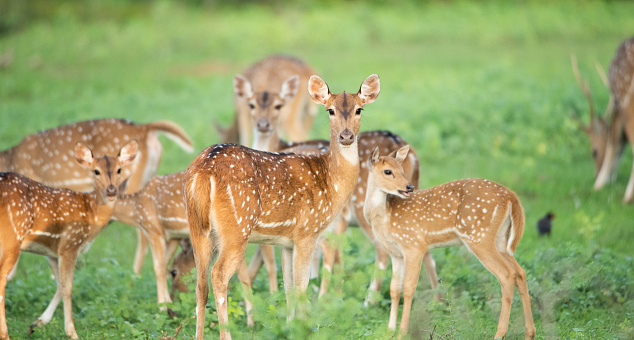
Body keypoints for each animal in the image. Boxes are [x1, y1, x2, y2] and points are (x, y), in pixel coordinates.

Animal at [0, 140, 137, 338]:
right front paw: (72, 332)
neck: (91, 214)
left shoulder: (51, 250)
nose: (111, 191)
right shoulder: (70, 244)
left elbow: (59, 285)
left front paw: (37, 323)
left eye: (119, 169)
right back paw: (5, 334)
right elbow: (69, 287)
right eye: (96, 171)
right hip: (12, 238)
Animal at [184, 73, 380, 338]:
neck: (330, 182)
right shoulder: (307, 231)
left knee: (200, 282)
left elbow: (288, 287)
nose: (346, 136)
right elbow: (302, 285)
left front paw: (289, 326)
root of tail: (203, 171)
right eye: (329, 110)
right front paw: (305, 327)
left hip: (197, 228)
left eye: (359, 109)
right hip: (236, 227)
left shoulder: (286, 242)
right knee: (219, 275)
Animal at [360, 145, 532, 338]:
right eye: (388, 171)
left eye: (403, 170)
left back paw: (499, 334)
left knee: (506, 275)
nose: (409, 187)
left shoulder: (414, 245)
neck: (385, 216)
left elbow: (409, 288)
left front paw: (402, 332)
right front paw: (389, 330)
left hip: (479, 236)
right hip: (501, 240)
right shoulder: (396, 253)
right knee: (520, 272)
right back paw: (529, 333)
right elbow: (394, 289)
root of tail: (511, 196)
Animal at [572, 36, 632, 202]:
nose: (595, 175)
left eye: (594, 152)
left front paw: (598, 186)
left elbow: (614, 142)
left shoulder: (620, 106)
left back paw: (627, 197)